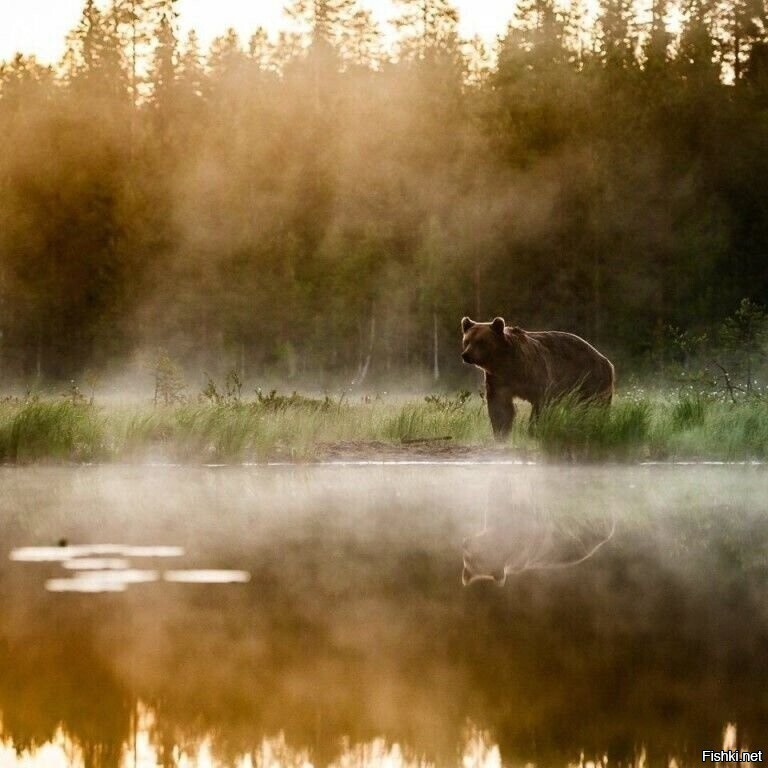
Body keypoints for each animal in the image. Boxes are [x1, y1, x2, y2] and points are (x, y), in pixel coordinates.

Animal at [460, 316, 616, 438]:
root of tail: (606, 361)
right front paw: (501, 432)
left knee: (597, 405)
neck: (505, 363)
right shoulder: (498, 379)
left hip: (590, 378)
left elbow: (541, 402)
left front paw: (533, 429)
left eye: (481, 342)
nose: (466, 355)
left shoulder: (535, 374)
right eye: (467, 341)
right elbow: (500, 406)